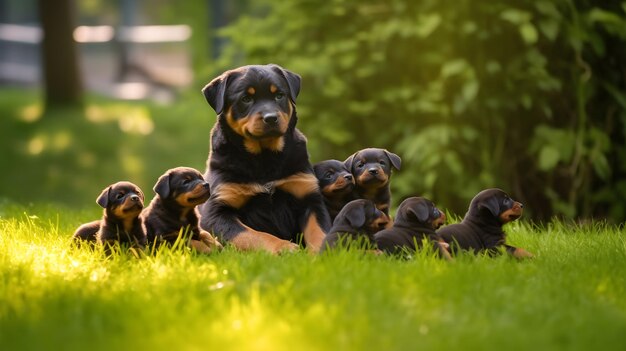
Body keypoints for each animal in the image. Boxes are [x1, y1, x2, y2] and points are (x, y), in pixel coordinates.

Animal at [197, 64, 330, 254]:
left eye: (279, 95)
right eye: (246, 99)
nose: (271, 118)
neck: (264, 157)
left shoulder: (309, 195)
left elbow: (318, 230)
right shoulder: (215, 212)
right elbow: (253, 234)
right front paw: (284, 247)